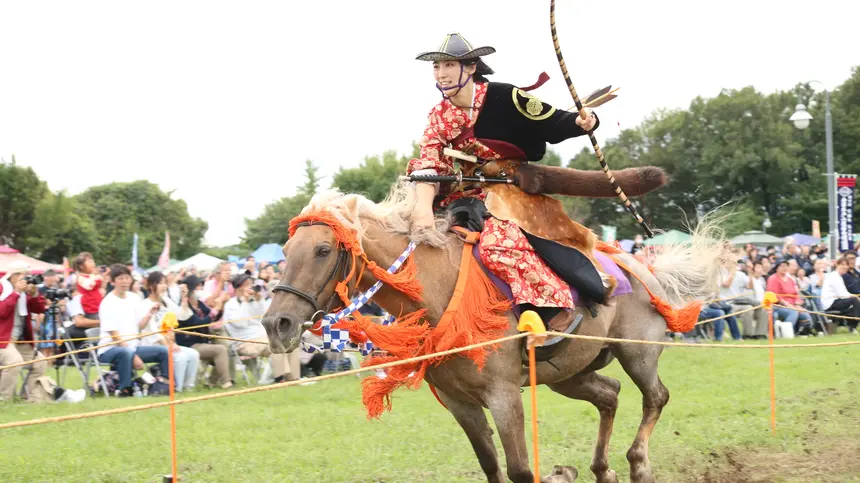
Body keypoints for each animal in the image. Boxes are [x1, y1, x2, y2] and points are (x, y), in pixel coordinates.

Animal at [262, 188, 724, 483]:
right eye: (285, 252)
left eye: (323, 250)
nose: (275, 324)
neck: (439, 290)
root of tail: (646, 268)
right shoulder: (460, 403)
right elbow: (492, 468)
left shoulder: (503, 396)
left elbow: (519, 469)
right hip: (568, 373)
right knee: (609, 395)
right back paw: (601, 470)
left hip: (637, 352)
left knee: (655, 397)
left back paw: (637, 463)